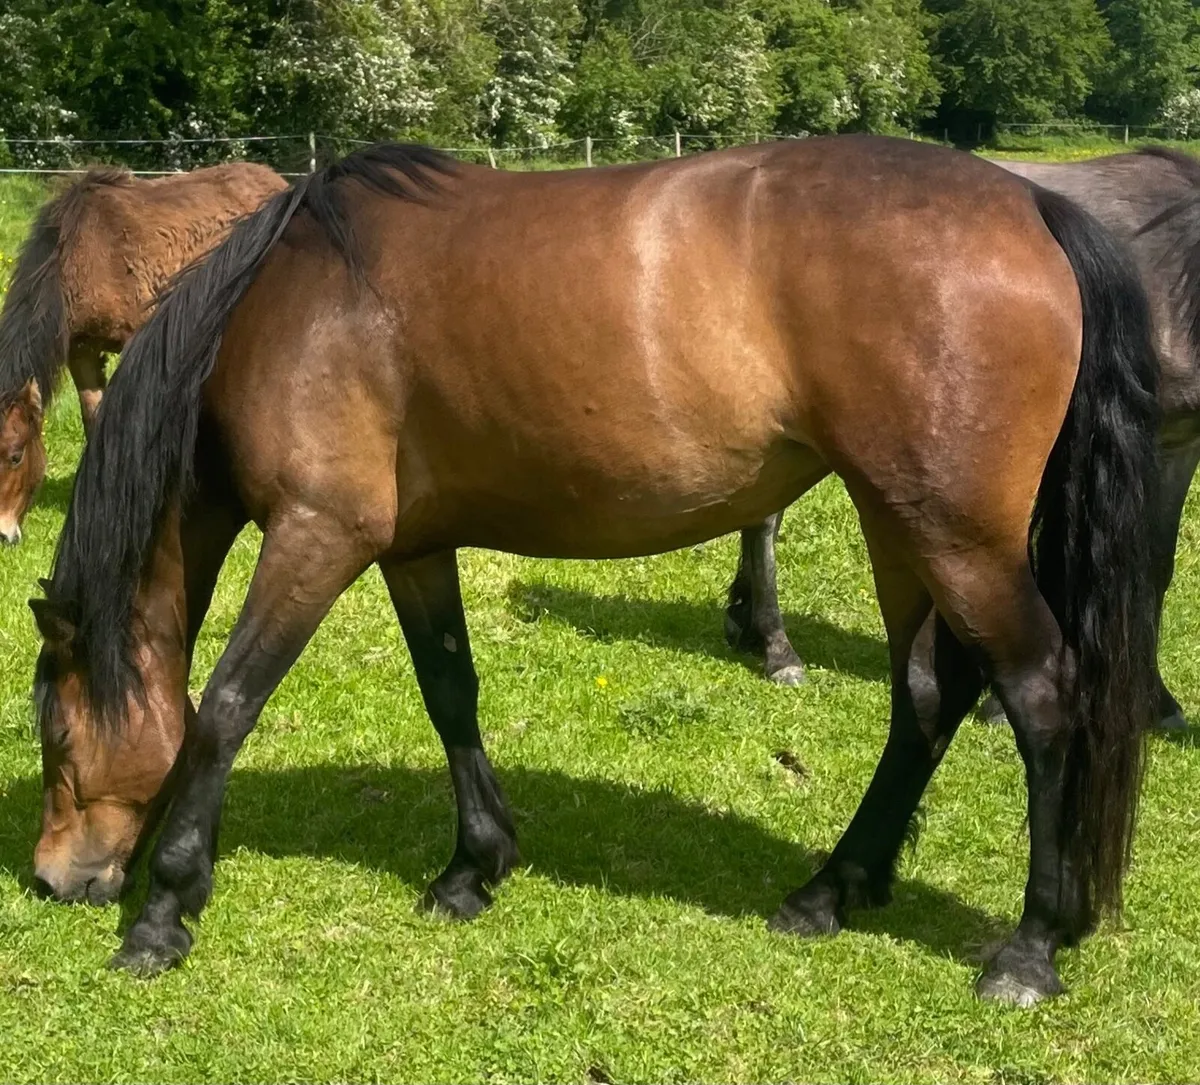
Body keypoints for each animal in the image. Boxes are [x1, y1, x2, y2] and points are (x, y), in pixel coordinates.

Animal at [726, 147, 1200, 733]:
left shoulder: (1177, 443)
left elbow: (1153, 567)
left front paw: (1160, 703)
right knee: (763, 524)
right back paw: (777, 649)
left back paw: (745, 623)